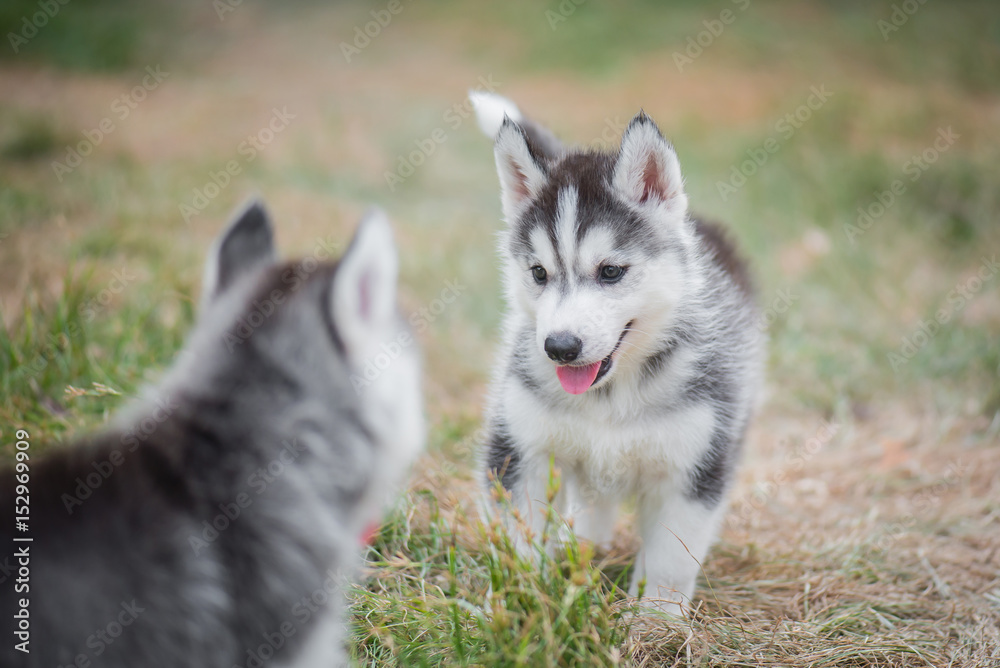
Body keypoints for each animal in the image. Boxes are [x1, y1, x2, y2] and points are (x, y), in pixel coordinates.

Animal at [472, 92, 760, 616]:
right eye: (539, 273)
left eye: (610, 272)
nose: (560, 347)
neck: (611, 393)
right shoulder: (519, 446)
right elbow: (518, 539)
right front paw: (520, 605)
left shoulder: (696, 465)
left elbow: (671, 558)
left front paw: (657, 621)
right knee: (593, 504)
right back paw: (581, 550)